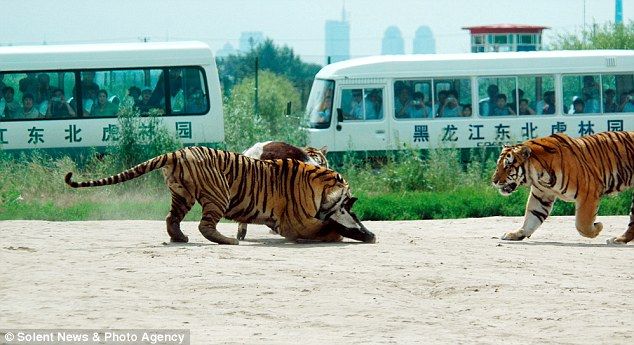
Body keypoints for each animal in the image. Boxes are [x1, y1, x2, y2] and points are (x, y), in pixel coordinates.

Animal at [65, 145, 370, 245]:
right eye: (347, 194)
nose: (353, 198)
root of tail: (177, 152)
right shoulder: (296, 223)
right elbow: (326, 228)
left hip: (182, 195)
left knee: (171, 218)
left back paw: (180, 238)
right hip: (218, 193)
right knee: (205, 225)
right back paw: (228, 241)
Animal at [488, 130, 632, 243]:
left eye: (508, 166)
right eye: (498, 165)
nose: (494, 181)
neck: (539, 176)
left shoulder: (589, 192)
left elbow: (582, 225)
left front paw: (597, 228)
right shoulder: (541, 196)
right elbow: (531, 217)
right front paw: (517, 234)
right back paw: (620, 239)